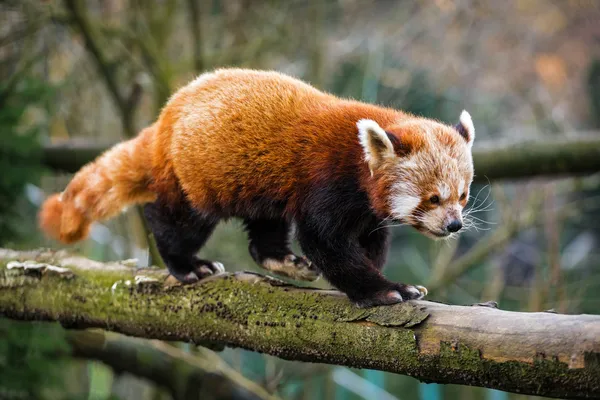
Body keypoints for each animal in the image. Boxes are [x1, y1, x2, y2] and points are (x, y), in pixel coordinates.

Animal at [39, 68, 476, 306]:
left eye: (462, 196)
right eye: (432, 198)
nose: (454, 225)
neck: (359, 162)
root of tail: (165, 118)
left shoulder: (365, 208)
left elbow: (369, 242)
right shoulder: (325, 180)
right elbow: (325, 242)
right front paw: (384, 290)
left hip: (258, 184)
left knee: (264, 226)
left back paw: (281, 260)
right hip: (193, 174)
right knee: (175, 219)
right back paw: (188, 264)